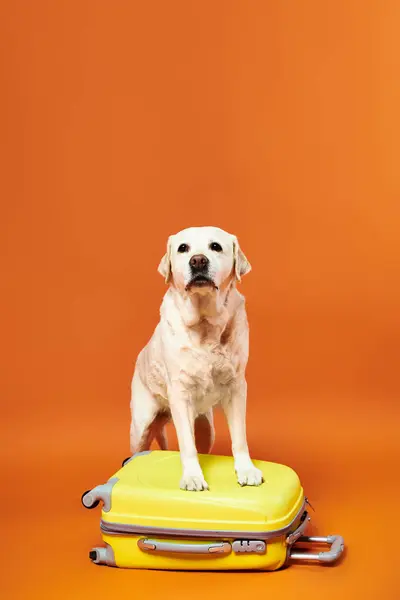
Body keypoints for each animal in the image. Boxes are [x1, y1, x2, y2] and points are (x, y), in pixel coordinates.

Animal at [130, 226, 264, 492]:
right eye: (183, 248)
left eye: (215, 247)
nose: (198, 261)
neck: (204, 324)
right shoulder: (180, 393)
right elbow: (186, 446)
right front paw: (192, 477)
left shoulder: (236, 388)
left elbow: (239, 437)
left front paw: (246, 470)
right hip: (141, 423)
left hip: (206, 427)